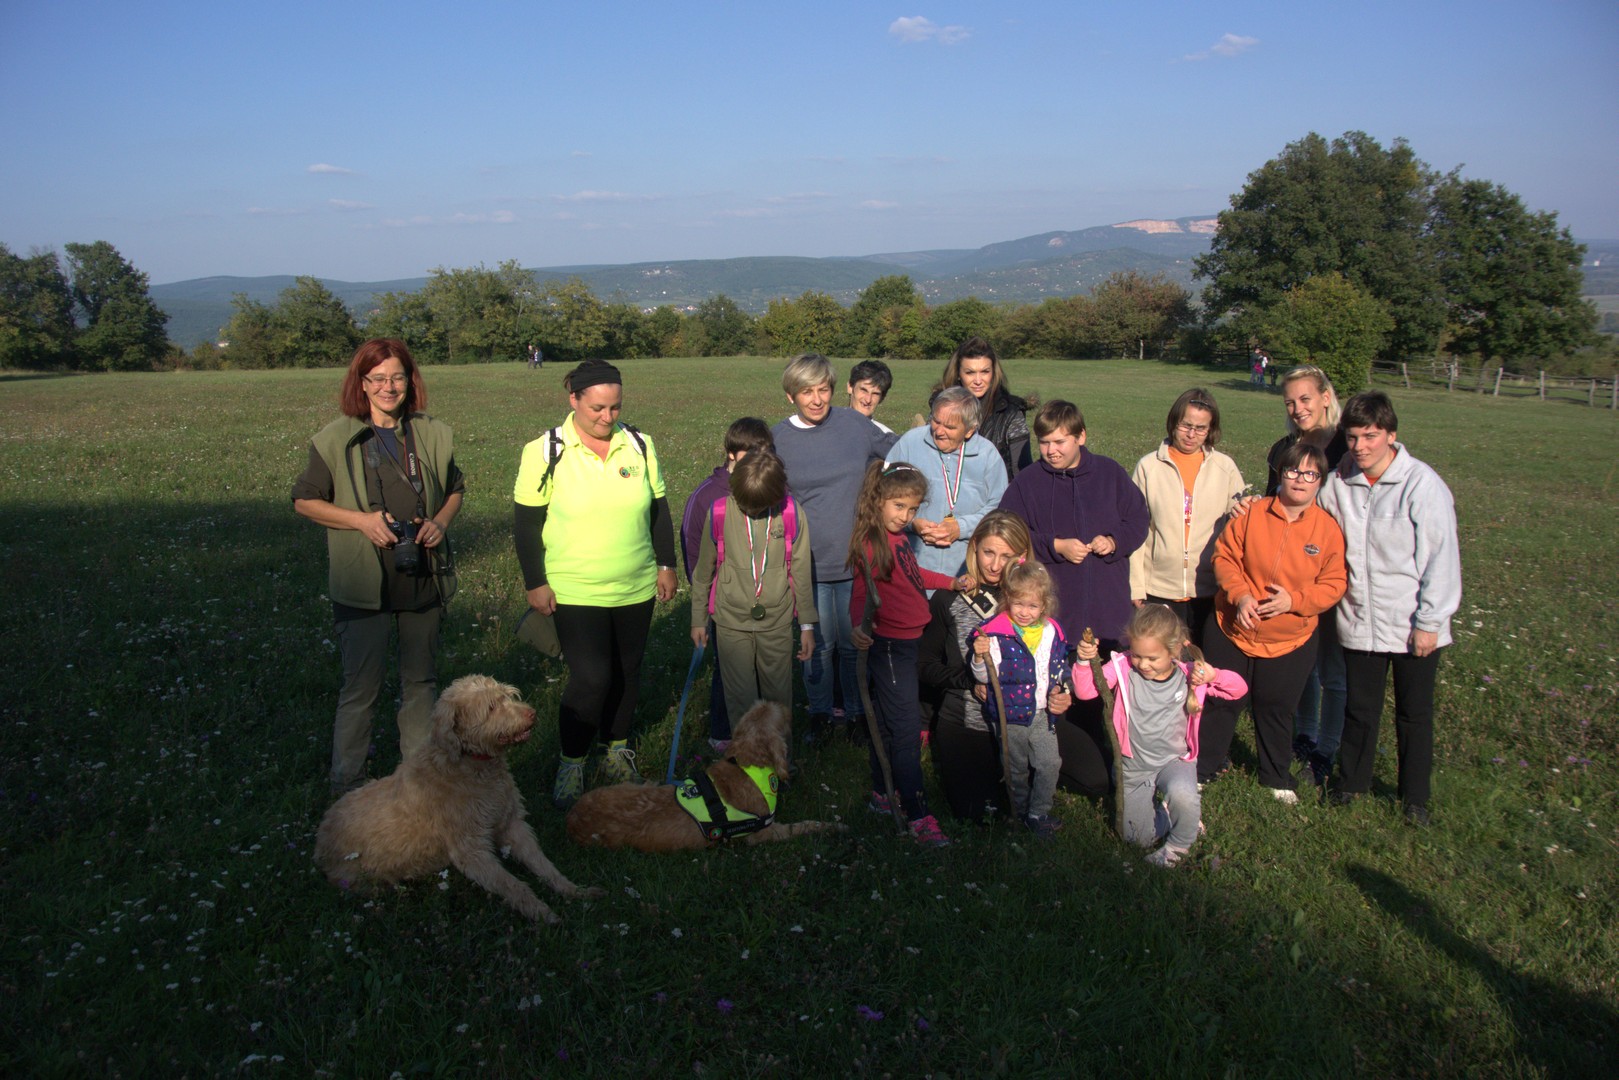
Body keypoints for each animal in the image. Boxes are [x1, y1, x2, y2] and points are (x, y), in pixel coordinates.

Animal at [314, 674, 602, 923]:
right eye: (491, 707)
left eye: (508, 696)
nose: (531, 713)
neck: (473, 766)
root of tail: (319, 841)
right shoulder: (471, 850)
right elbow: (512, 885)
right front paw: (544, 914)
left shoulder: (513, 825)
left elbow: (545, 866)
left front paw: (575, 891)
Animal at [566, 700, 843, 851]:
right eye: (777, 713)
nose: (786, 707)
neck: (746, 763)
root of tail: (572, 818)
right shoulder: (764, 832)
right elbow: (804, 825)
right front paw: (831, 826)